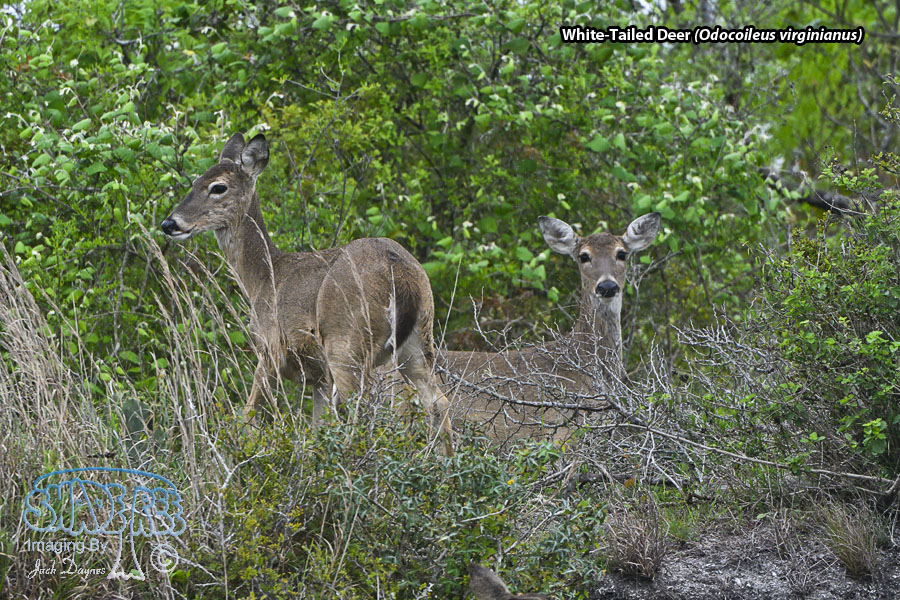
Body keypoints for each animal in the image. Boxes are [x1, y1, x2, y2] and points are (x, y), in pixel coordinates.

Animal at [159, 132, 453, 455]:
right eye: (194, 181)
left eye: (218, 187)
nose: (169, 223)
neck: (264, 278)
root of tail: (398, 270)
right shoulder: (318, 378)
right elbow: (316, 429)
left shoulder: (271, 348)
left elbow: (248, 417)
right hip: (418, 340)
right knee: (438, 402)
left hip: (346, 341)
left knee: (361, 410)